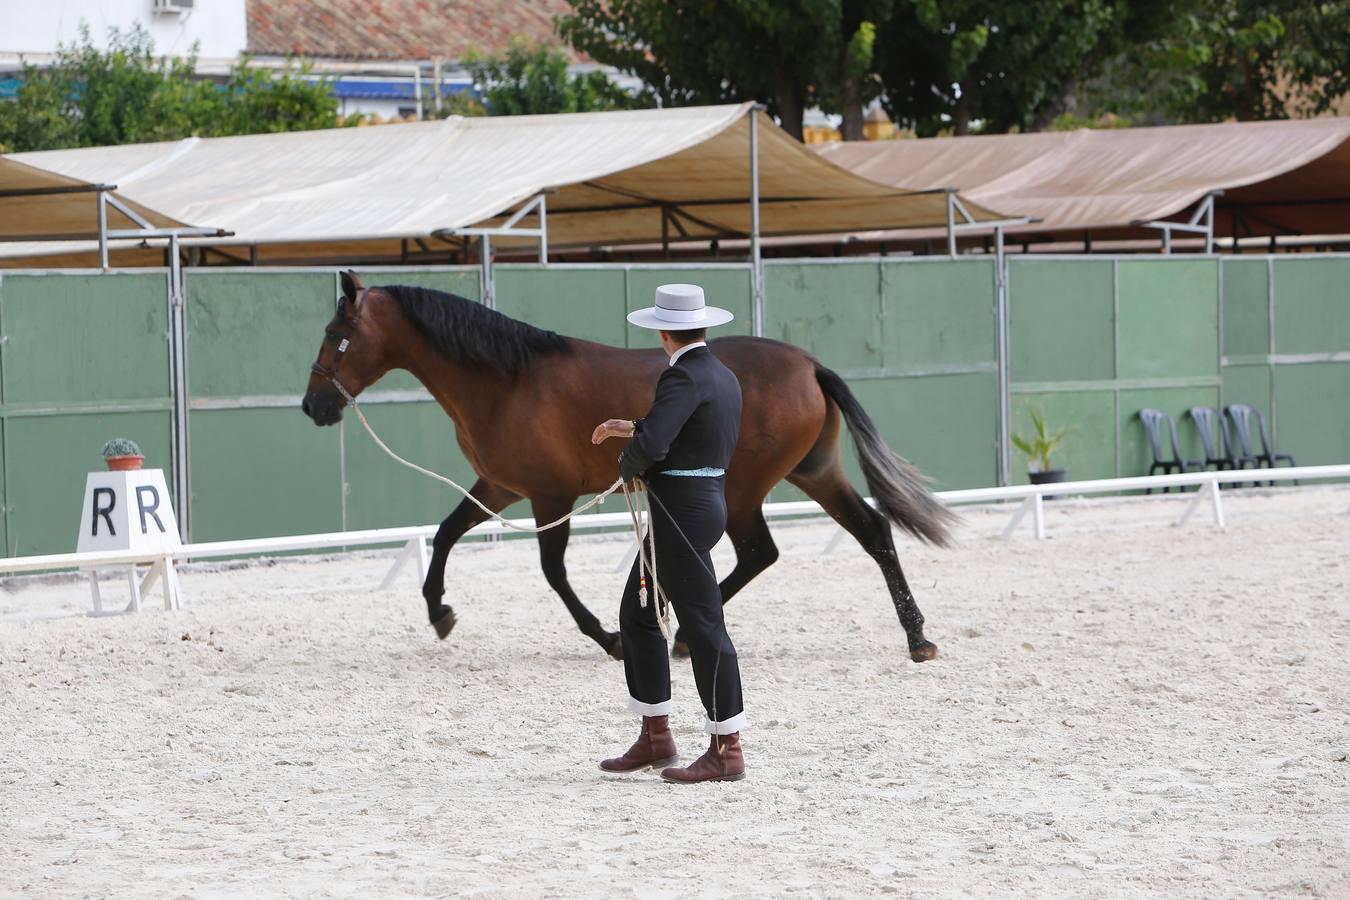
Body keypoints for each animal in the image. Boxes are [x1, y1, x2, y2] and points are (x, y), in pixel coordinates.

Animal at [303, 271, 961, 666]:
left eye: (336, 333)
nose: (314, 406)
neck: (505, 380)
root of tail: (809, 365)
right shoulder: (500, 487)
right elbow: (444, 535)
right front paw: (439, 612)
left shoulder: (550, 495)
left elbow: (553, 573)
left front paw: (613, 638)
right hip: (814, 474)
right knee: (872, 534)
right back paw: (917, 637)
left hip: (743, 489)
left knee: (760, 551)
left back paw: (681, 637)